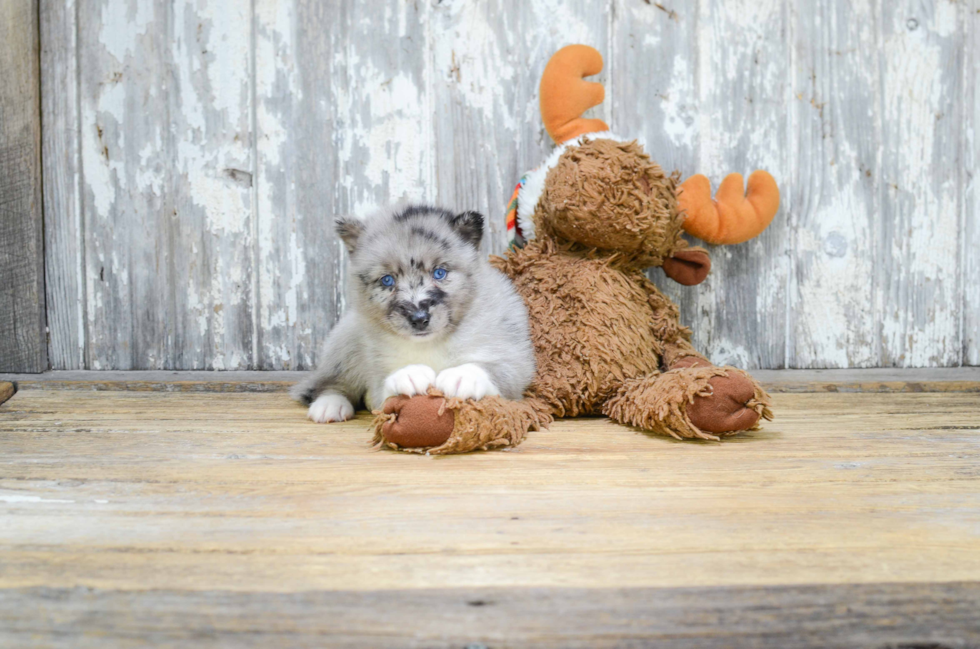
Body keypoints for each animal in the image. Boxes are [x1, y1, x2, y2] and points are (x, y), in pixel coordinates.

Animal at [290, 205, 536, 422]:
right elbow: (383, 386)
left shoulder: (513, 360)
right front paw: (409, 374)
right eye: (387, 280)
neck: (429, 344)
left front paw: (462, 376)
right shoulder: (377, 374)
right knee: (328, 383)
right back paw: (330, 405)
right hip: (345, 343)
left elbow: (492, 369)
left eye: (439, 273)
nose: (419, 319)